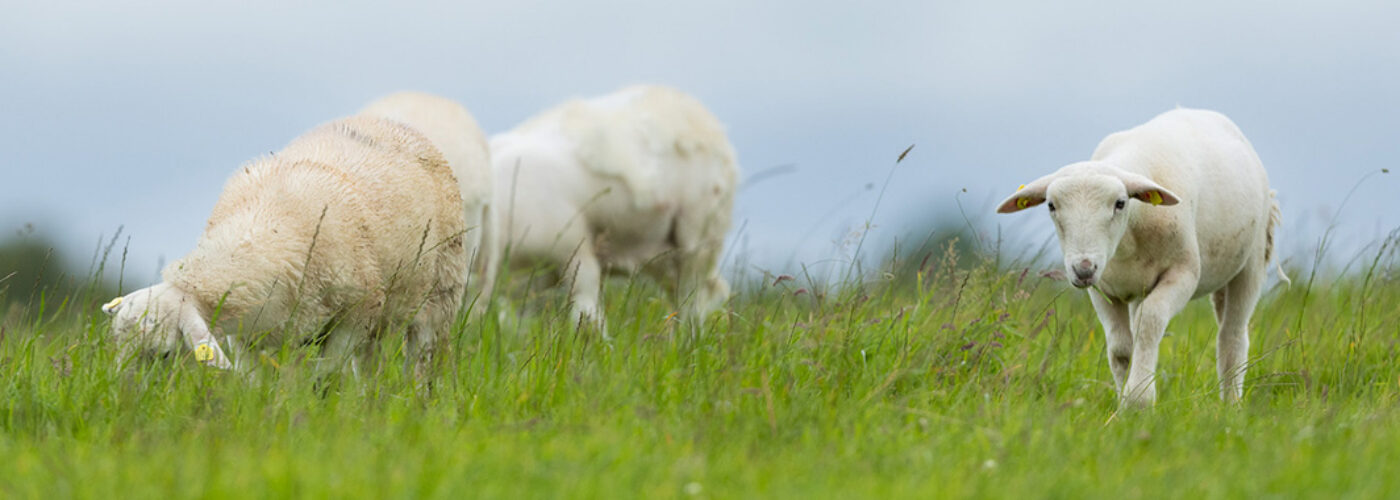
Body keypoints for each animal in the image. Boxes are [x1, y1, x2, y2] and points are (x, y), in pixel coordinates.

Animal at [102, 110, 481, 377]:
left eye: (164, 354)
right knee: (369, 367)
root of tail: (388, 122)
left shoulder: (355, 315)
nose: (126, 395)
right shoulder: (249, 335)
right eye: (116, 345)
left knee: (423, 362)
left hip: (440, 297)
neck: (263, 225)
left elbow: (325, 376)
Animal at [490, 85, 738, 328]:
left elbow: (587, 316)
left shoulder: (576, 252)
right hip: (663, 252)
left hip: (699, 234)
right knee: (689, 293)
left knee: (692, 299)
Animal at [997, 108, 1286, 407]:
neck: (1127, 240)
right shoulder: (1103, 289)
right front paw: (1124, 399)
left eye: (1120, 203)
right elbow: (1121, 346)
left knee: (1232, 337)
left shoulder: (1183, 273)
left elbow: (1149, 322)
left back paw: (1230, 404)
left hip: (1251, 262)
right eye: (1052, 206)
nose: (1083, 269)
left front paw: (1139, 397)